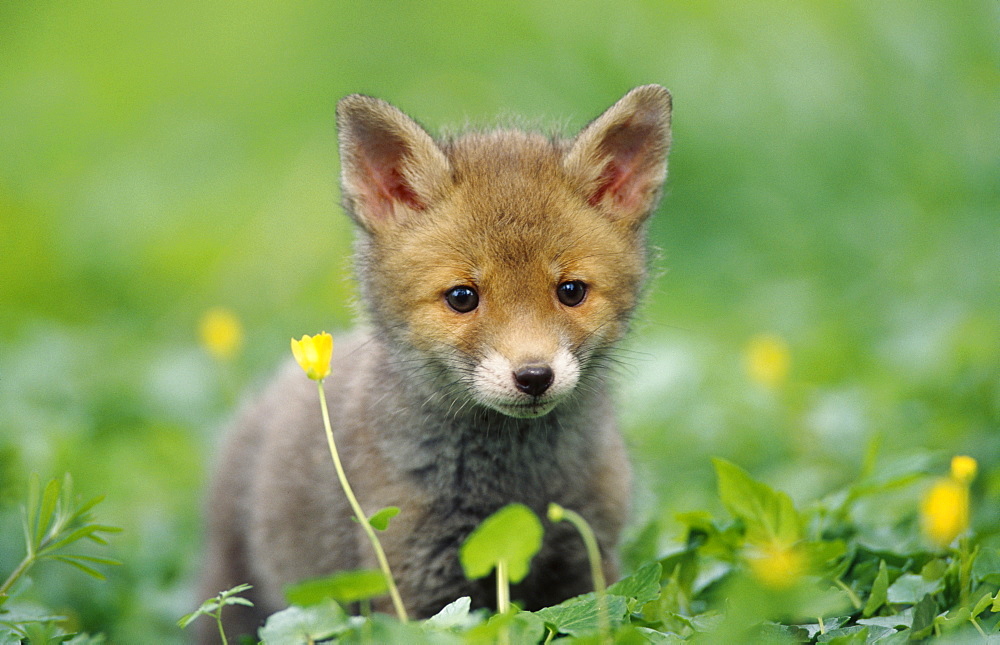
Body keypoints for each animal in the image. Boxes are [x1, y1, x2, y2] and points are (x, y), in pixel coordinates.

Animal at [199, 85, 672, 640]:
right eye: (463, 297)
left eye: (571, 291)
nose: (534, 376)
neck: (514, 488)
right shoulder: (412, 577)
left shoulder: (587, 556)